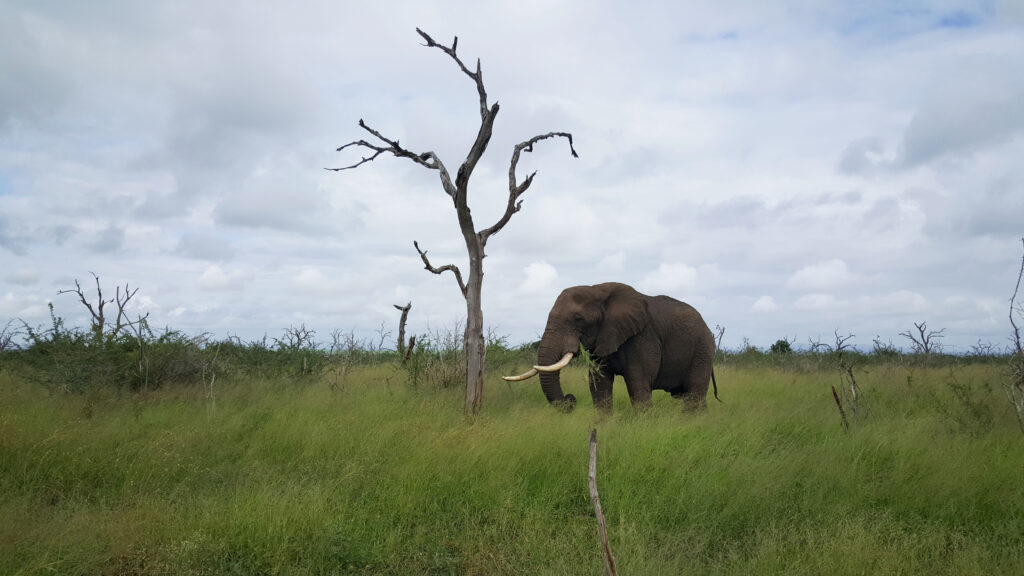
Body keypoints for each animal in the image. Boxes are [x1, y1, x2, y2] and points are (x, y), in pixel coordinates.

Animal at [505, 280, 720, 409]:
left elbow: (638, 384)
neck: (597, 290)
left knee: (694, 394)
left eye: (578, 319)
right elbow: (599, 386)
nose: (571, 399)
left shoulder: (643, 336)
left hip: (702, 349)